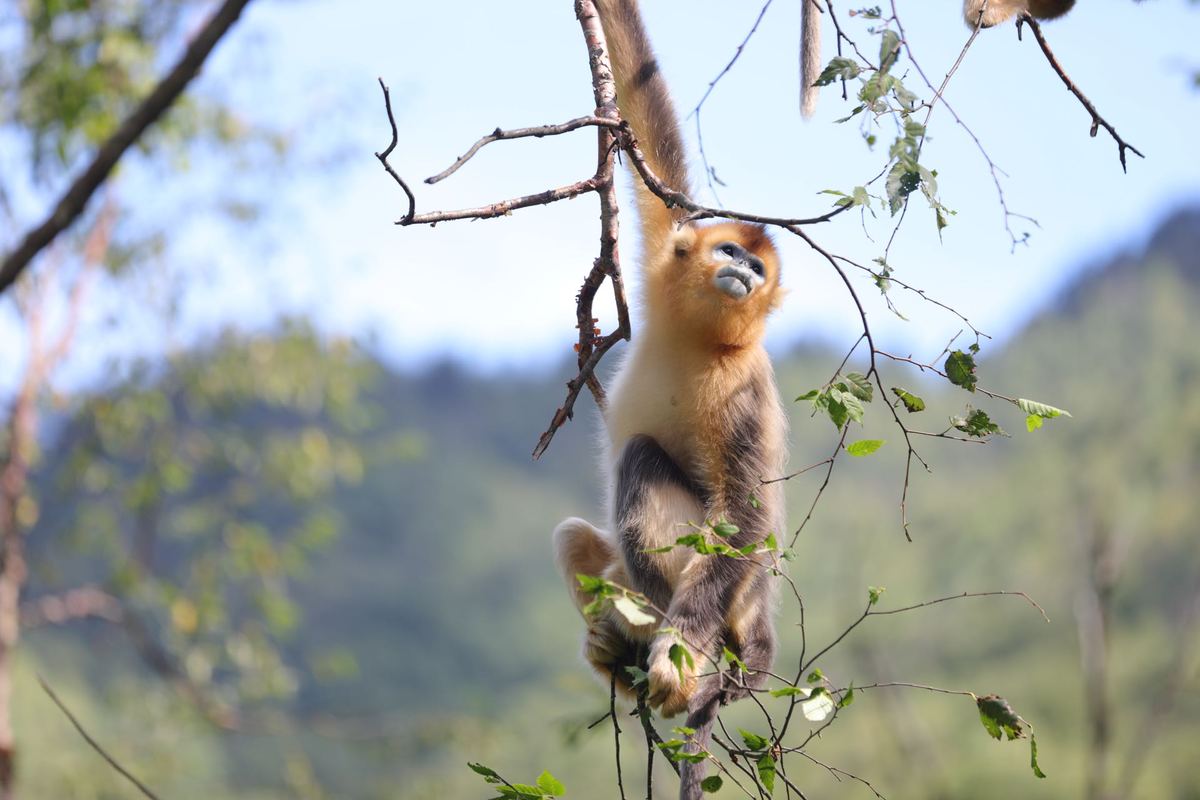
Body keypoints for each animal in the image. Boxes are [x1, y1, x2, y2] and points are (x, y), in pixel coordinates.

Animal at [552, 2, 788, 798]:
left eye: (757, 268)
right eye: (729, 252)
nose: (744, 272)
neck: (702, 342)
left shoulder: (746, 385)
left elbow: (746, 514)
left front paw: (675, 657)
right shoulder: (665, 255)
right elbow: (642, 101)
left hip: (729, 595)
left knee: (643, 461)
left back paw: (671, 654)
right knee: (575, 537)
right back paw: (612, 652)